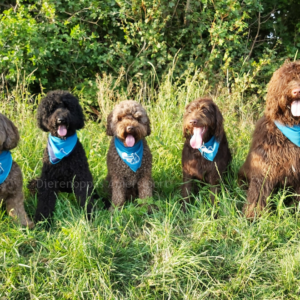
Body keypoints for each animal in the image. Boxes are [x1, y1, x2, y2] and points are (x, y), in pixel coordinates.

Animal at [31, 90, 95, 221]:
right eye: (52, 108)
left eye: (68, 107)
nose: (61, 119)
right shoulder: (48, 179)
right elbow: (45, 202)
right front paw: (42, 220)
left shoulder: (81, 176)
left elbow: (85, 197)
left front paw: (89, 215)